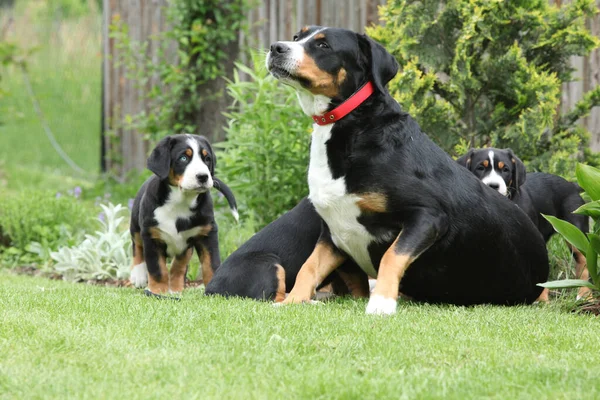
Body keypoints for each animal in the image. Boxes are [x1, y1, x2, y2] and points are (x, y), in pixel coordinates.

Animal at [130, 134, 238, 296]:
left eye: (207, 159)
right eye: (183, 158)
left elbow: (211, 264)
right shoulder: (152, 236)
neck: (180, 203)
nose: (203, 176)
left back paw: (175, 289)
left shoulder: (207, 233)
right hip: (136, 225)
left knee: (179, 264)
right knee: (136, 245)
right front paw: (157, 291)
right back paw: (138, 275)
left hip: (186, 245)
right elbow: (157, 269)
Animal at [268, 26, 548, 316]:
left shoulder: (427, 217)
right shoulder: (332, 232)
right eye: (297, 37)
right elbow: (308, 267)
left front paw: (381, 301)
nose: (276, 47)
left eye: (323, 46)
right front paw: (292, 300)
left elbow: (391, 256)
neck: (354, 127)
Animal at [460, 148, 592, 298]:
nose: (493, 186)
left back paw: (584, 293)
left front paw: (540, 298)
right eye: (480, 168)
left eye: (505, 169)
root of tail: (572, 185)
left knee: (584, 261)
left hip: (575, 231)